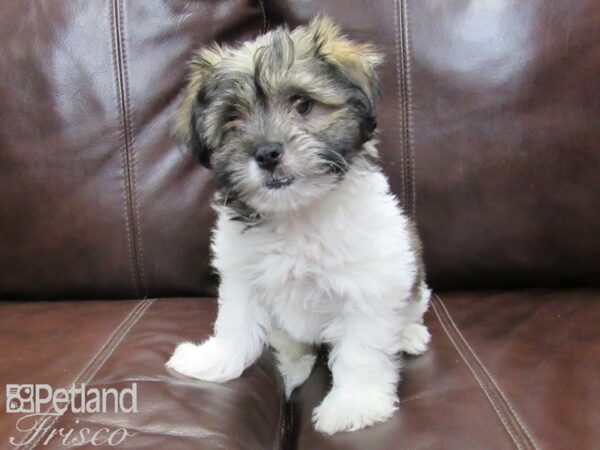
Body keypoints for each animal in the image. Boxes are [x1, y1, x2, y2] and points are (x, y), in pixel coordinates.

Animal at [166, 15, 432, 434]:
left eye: (303, 104)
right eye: (233, 118)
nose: (267, 153)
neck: (296, 212)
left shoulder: (370, 285)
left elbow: (361, 350)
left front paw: (353, 404)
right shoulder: (242, 278)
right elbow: (237, 325)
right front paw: (214, 361)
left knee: (412, 306)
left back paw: (408, 333)